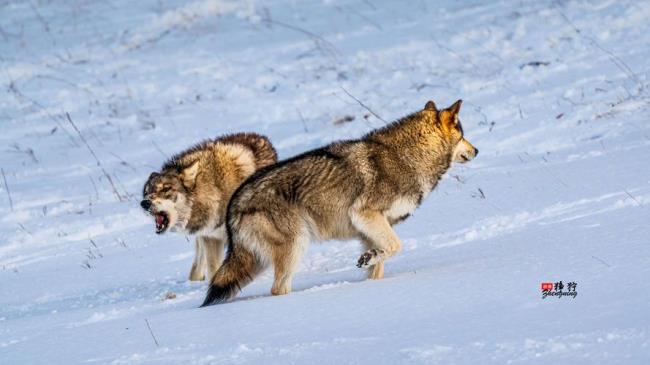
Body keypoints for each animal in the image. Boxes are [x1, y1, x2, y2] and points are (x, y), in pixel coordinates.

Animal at [140, 134, 276, 282]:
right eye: (146, 192)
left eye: (166, 189)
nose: (144, 203)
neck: (216, 190)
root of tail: (260, 137)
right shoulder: (211, 237)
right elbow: (213, 269)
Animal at [200, 99, 478, 304]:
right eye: (463, 134)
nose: (476, 151)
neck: (408, 157)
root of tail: (234, 203)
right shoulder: (365, 214)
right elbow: (396, 246)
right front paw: (370, 258)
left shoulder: (370, 230)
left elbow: (380, 264)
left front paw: (371, 265)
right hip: (296, 245)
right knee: (278, 290)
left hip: (260, 260)